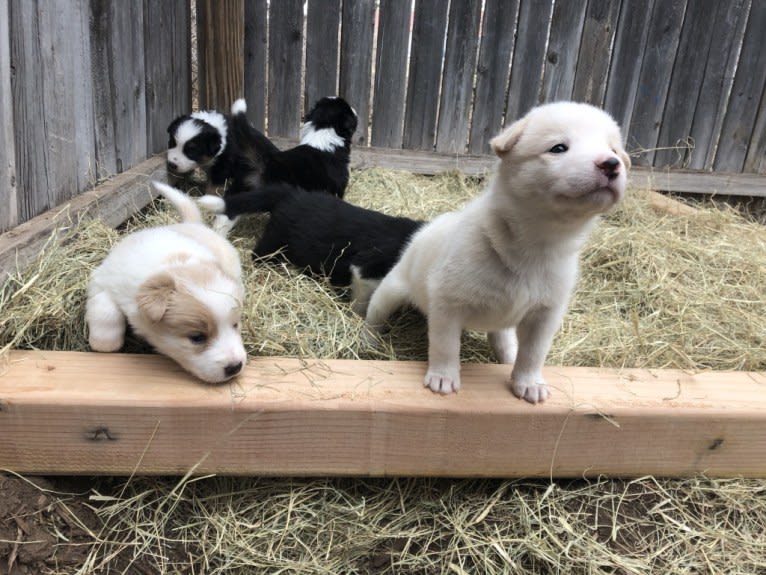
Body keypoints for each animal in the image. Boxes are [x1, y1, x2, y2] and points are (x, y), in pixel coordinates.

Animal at [87, 182, 249, 384]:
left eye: (235, 325)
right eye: (197, 337)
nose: (235, 367)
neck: (170, 265)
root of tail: (192, 224)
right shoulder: (102, 280)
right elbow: (105, 311)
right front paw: (104, 345)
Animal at [368, 101, 632, 402]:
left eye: (614, 150)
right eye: (558, 148)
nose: (611, 164)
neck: (535, 246)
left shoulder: (545, 315)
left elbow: (533, 354)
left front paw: (529, 382)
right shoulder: (447, 302)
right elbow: (445, 346)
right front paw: (443, 377)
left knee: (503, 338)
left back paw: (508, 355)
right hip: (391, 291)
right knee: (374, 313)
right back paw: (368, 339)